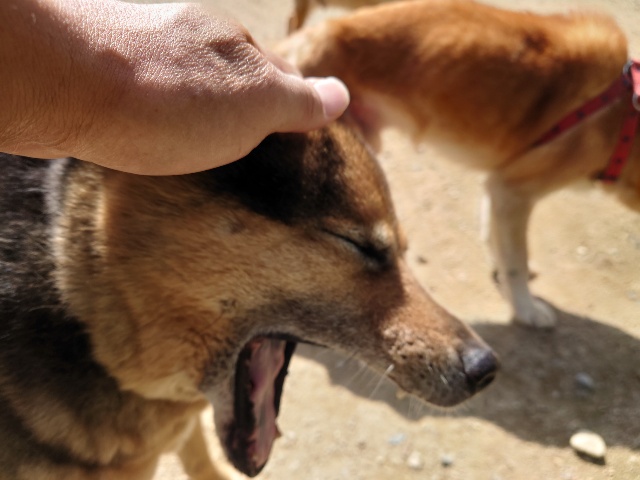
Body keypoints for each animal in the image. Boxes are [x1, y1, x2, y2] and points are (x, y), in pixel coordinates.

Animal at [278, 0, 636, 328]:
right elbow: (516, 261)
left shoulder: (498, 188)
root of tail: (301, 42)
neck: (627, 117)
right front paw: (527, 310)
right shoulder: (514, 190)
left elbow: (494, 236)